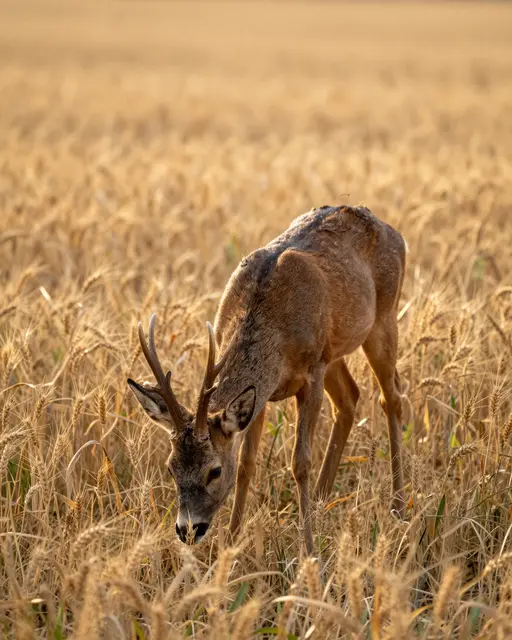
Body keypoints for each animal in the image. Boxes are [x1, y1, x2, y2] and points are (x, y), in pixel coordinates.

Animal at [127, 204, 406, 555]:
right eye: (170, 467)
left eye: (214, 471)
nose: (188, 530)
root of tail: (394, 232)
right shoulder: (261, 395)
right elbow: (247, 464)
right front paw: (231, 544)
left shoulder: (311, 372)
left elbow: (300, 462)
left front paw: (308, 551)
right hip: (335, 351)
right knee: (349, 398)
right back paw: (321, 500)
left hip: (383, 320)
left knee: (391, 397)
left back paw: (398, 506)